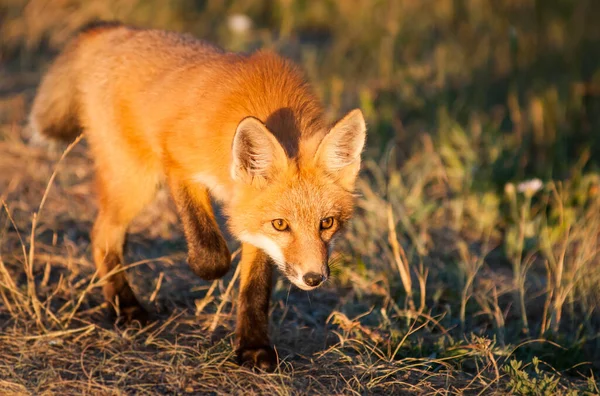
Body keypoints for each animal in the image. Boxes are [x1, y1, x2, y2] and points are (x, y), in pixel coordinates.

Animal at [30, 20, 368, 368]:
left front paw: (253, 346)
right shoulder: (178, 163)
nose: (314, 278)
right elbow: (211, 251)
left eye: (327, 223)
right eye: (281, 225)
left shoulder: (250, 218)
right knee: (102, 235)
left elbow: (255, 288)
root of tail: (115, 30)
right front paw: (202, 266)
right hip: (136, 181)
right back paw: (125, 306)